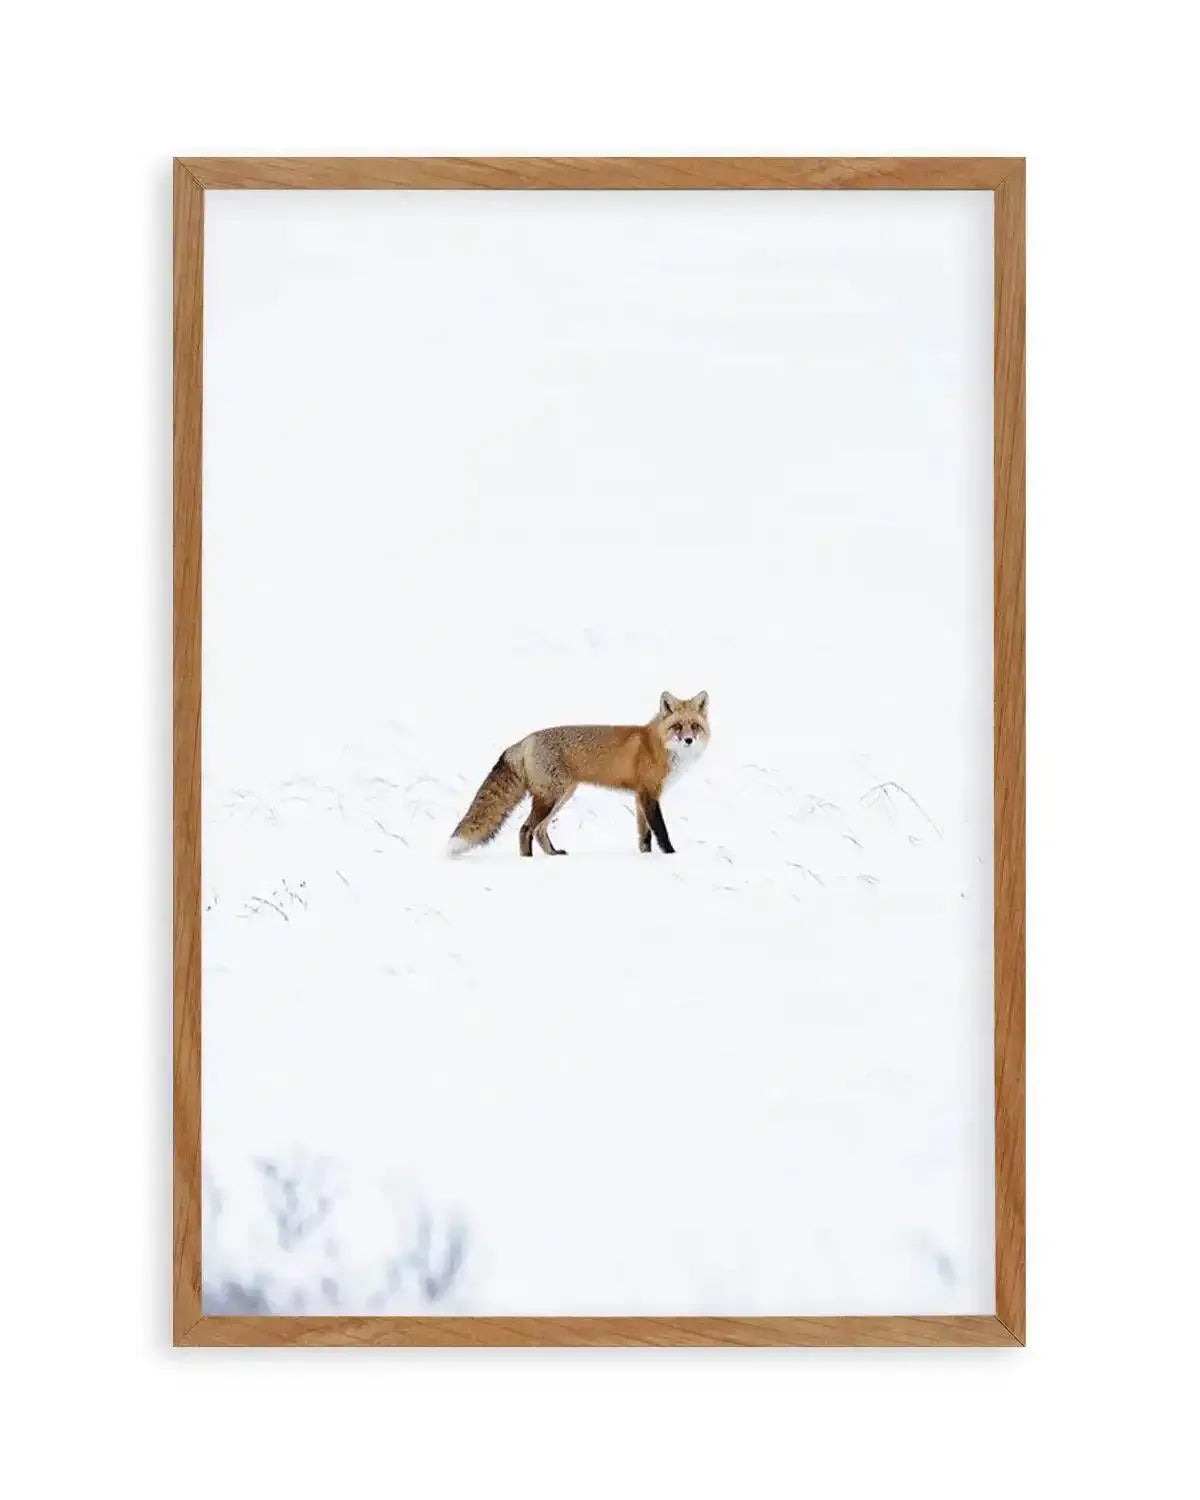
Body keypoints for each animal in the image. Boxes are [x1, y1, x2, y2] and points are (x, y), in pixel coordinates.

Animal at [447, 690, 710, 857]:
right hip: (550, 798)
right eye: (677, 726)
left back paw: (553, 854)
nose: (688, 740)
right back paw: (528, 861)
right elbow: (661, 831)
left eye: (694, 726)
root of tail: (525, 740)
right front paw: (671, 855)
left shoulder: (640, 797)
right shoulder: (649, 794)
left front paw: (646, 857)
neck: (660, 746)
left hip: (561, 797)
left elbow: (644, 836)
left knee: (539, 830)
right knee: (526, 829)